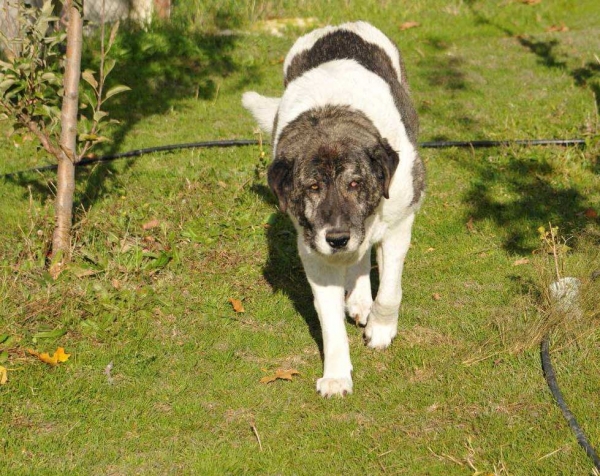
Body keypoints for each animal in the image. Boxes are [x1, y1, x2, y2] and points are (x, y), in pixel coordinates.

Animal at [241, 20, 424, 396]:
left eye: (355, 184)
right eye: (312, 187)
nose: (337, 238)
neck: (331, 113)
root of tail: (340, 25)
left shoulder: (400, 222)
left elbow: (390, 290)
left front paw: (381, 328)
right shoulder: (315, 251)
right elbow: (329, 322)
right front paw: (337, 375)